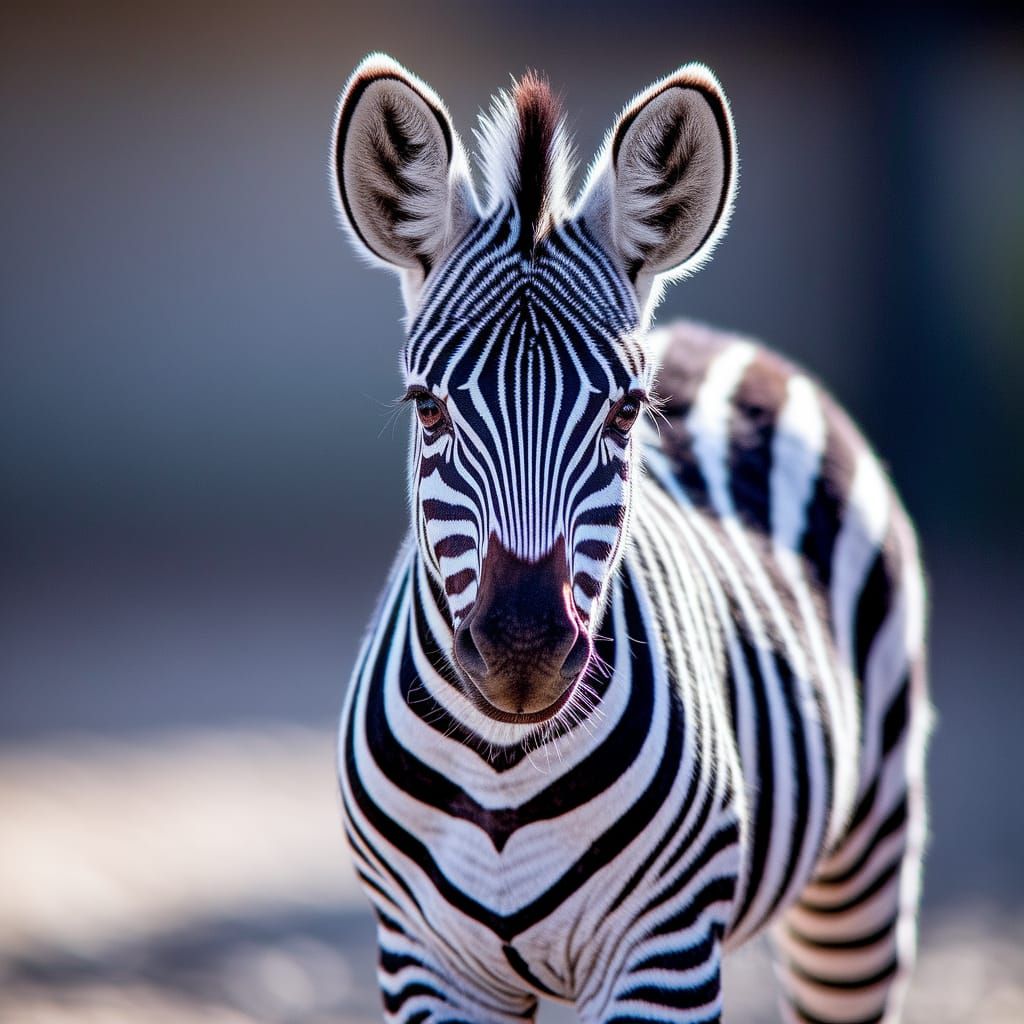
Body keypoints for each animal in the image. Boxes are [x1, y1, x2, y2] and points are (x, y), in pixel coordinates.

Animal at [330, 52, 930, 1024]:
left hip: (865, 864)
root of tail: (716, 339)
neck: (503, 767)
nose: (524, 649)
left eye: (624, 413)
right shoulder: (423, 958)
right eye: (429, 409)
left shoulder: (665, 950)